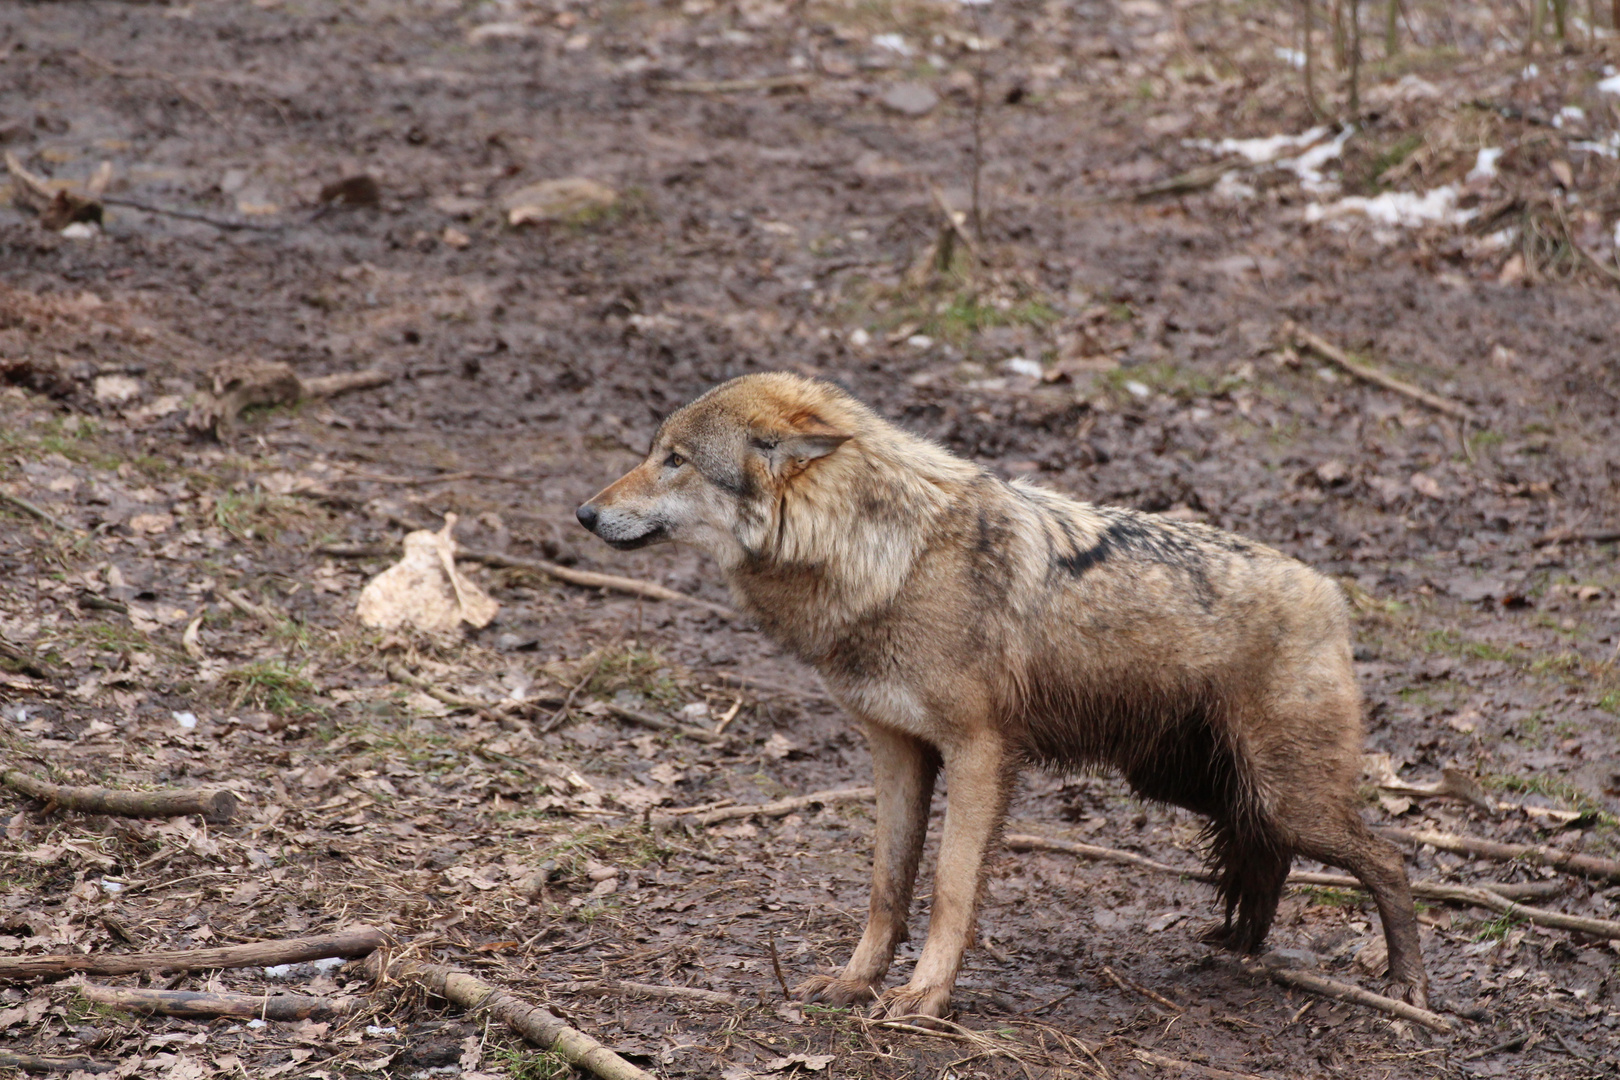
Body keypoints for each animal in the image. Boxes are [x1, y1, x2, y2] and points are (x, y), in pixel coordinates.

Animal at [573, 374, 1432, 1023]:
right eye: (654, 453)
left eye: (675, 460)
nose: (583, 512)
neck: (884, 557)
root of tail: (1329, 590)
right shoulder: (895, 749)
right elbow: (886, 887)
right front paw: (855, 984)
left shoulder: (980, 752)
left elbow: (950, 887)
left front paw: (923, 998)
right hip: (1200, 787)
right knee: (1270, 855)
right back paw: (1243, 947)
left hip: (1281, 794)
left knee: (1388, 859)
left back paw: (1406, 988)